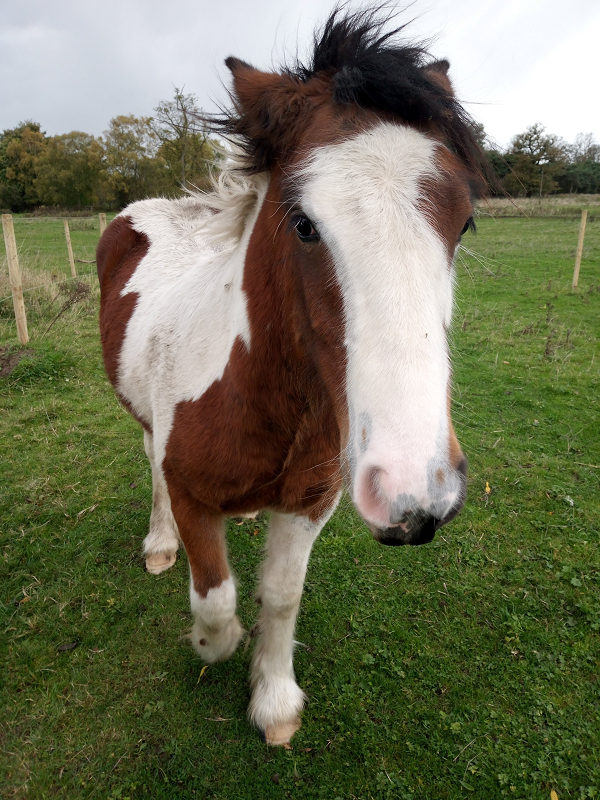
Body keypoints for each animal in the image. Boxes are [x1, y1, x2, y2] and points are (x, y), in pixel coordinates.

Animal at [97, 9, 488, 746]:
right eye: (303, 224)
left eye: (465, 221)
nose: (415, 493)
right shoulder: (191, 492)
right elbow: (216, 602)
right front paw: (210, 644)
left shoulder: (311, 502)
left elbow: (280, 596)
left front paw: (275, 700)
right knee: (150, 462)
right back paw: (160, 545)